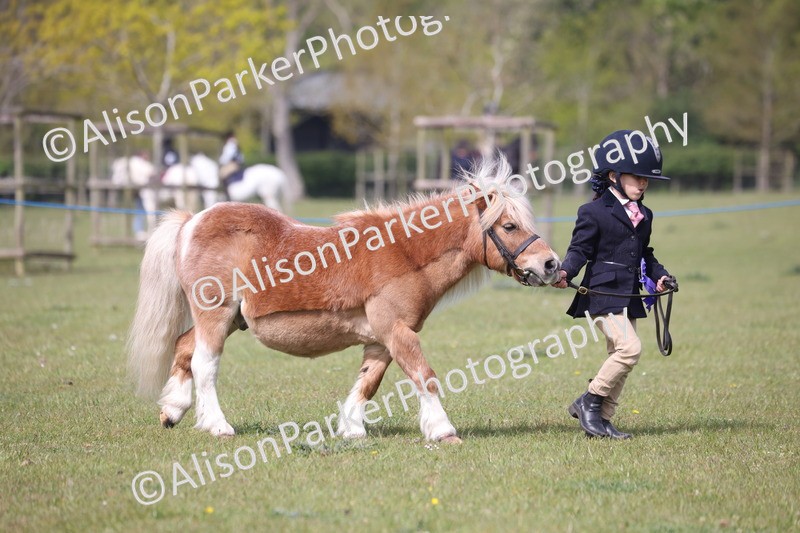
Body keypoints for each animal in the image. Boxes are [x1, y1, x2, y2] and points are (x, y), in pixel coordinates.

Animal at [127, 155, 561, 442]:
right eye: (509, 225)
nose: (551, 264)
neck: (404, 252)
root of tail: (192, 221)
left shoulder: (382, 339)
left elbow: (368, 383)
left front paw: (351, 428)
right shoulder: (397, 331)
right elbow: (425, 376)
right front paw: (443, 431)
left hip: (230, 319)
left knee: (184, 349)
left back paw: (173, 410)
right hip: (215, 316)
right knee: (204, 365)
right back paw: (218, 425)